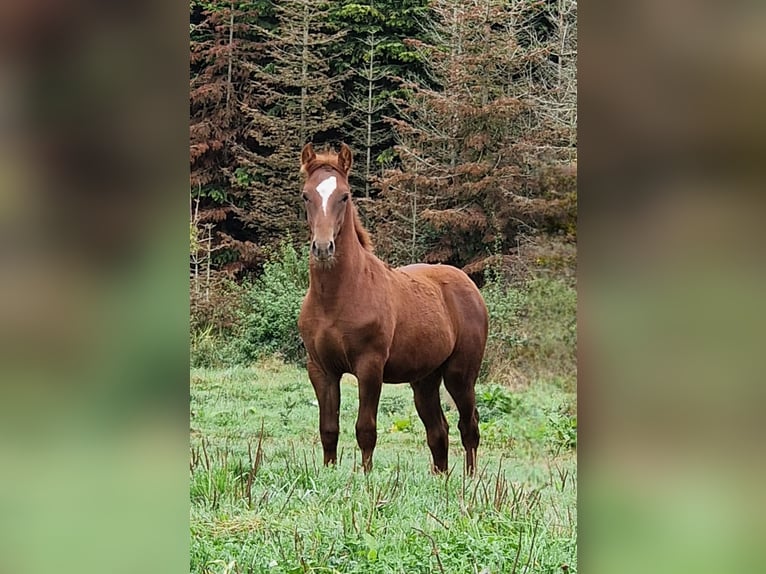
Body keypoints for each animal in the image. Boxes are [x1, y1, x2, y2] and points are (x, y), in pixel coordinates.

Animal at [297, 142, 488, 475]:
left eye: (344, 196)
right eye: (307, 195)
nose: (323, 248)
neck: (336, 298)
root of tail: (469, 285)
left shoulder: (369, 367)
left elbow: (365, 429)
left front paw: (366, 478)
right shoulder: (321, 370)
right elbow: (328, 429)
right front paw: (329, 474)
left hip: (461, 374)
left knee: (469, 427)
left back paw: (470, 479)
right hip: (425, 379)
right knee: (438, 431)